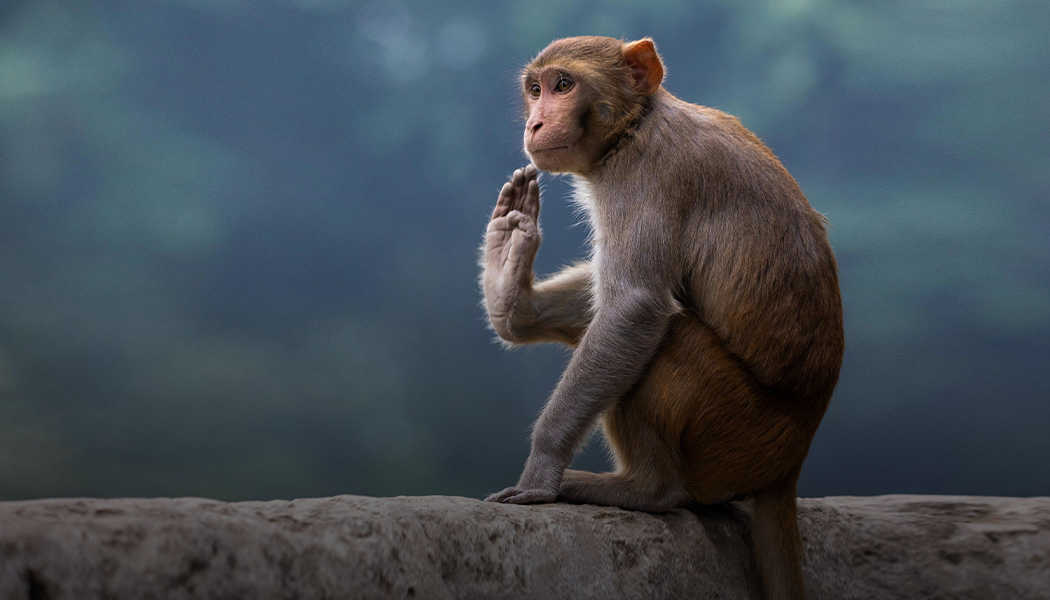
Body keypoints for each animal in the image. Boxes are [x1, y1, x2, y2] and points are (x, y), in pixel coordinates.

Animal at [479, 36, 843, 599]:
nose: (535, 122)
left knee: (669, 335)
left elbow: (634, 306)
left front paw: (540, 472)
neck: (635, 125)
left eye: (564, 85)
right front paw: (509, 283)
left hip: (735, 435)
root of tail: (790, 464)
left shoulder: (645, 176)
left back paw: (646, 489)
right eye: (535, 90)